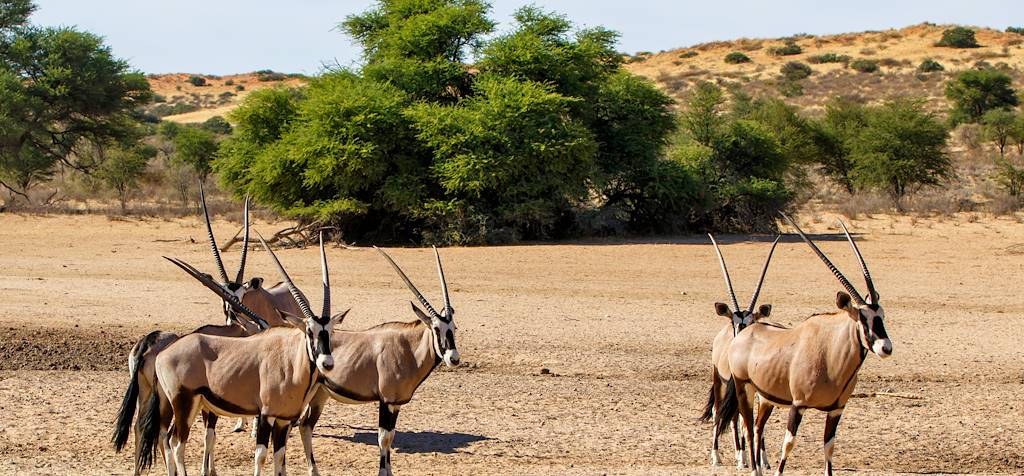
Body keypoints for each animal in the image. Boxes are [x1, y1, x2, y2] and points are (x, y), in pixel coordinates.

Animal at [136, 233, 348, 474]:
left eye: (330, 331)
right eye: (309, 332)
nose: (327, 363)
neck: (291, 363)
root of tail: (164, 353)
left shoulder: (284, 420)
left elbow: (279, 456)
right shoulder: (266, 416)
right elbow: (261, 456)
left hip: (188, 405)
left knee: (167, 438)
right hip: (183, 403)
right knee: (176, 443)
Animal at [299, 244, 462, 474]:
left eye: (453, 328)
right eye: (436, 328)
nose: (453, 358)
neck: (408, 349)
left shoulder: (396, 404)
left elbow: (391, 437)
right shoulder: (386, 401)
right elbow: (384, 438)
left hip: (320, 394)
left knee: (305, 425)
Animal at [700, 233, 778, 466]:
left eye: (753, 322)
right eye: (734, 322)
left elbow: (752, 421)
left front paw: (762, 459)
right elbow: (738, 417)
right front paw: (742, 457)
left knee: (736, 417)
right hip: (720, 380)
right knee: (720, 411)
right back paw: (719, 455)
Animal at [720, 215, 897, 474]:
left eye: (881, 316)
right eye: (863, 318)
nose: (886, 347)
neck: (830, 354)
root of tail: (745, 332)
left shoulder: (836, 410)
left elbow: (829, 447)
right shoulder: (798, 405)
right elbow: (788, 444)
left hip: (766, 397)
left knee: (758, 427)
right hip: (745, 388)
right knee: (748, 427)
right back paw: (753, 469)